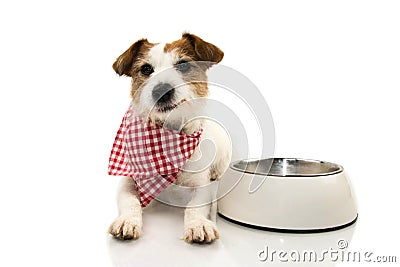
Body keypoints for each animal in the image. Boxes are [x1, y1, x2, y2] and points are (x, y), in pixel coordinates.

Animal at [108, 32, 231, 244]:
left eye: (183, 64)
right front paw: (127, 221)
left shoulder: (202, 185)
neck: (167, 138)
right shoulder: (128, 180)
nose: (161, 90)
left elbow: (195, 206)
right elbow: (129, 200)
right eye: (146, 68)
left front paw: (198, 224)